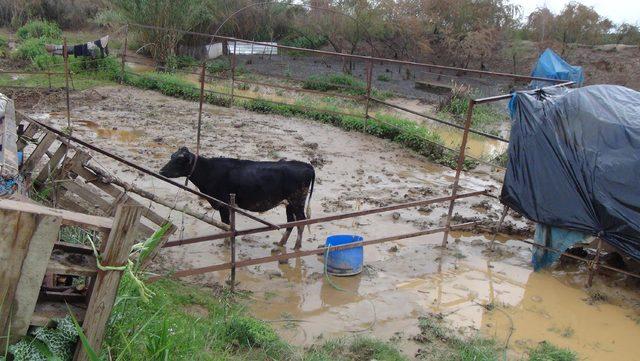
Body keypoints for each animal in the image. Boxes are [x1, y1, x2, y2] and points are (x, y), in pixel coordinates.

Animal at [160, 148, 316, 249]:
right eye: (172, 156)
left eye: (179, 160)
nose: (161, 171)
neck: (209, 171)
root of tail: (306, 165)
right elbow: (227, 224)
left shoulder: (223, 204)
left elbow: (226, 224)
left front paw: (226, 244)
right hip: (289, 203)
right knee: (291, 222)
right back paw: (281, 244)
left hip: (297, 201)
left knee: (301, 221)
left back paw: (296, 246)